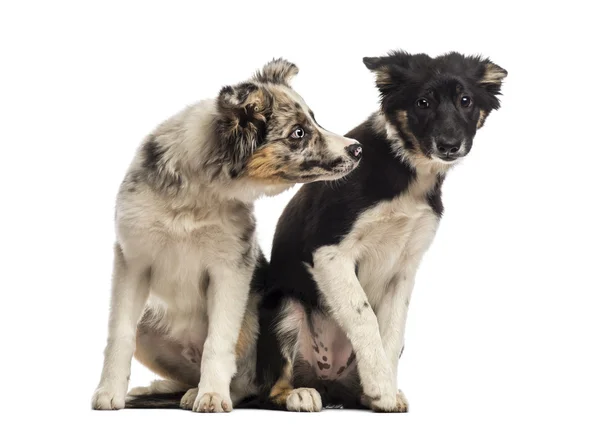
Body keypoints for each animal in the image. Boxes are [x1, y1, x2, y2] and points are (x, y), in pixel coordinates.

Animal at [255, 51, 508, 412]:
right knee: (273, 386)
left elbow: (391, 329)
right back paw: (298, 394)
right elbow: (364, 317)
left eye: (466, 101)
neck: (407, 169)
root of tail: (325, 381)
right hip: (285, 310)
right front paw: (380, 384)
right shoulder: (329, 250)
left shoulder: (404, 269)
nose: (449, 145)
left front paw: (383, 389)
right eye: (423, 102)